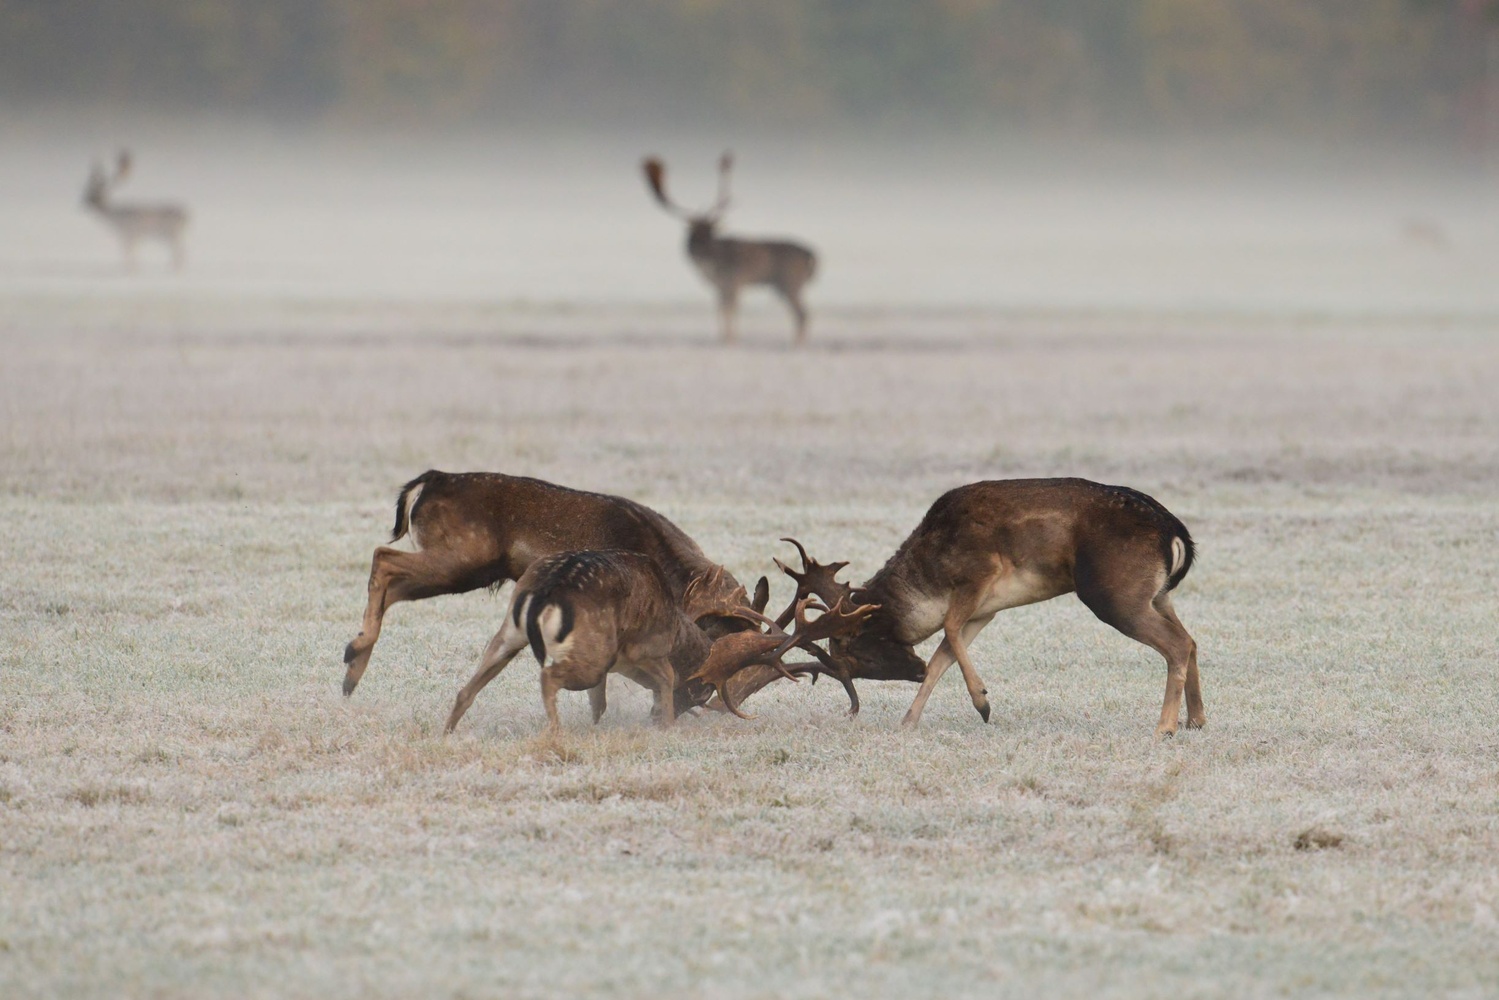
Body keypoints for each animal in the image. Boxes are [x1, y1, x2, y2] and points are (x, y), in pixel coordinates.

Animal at [437, 548, 875, 734]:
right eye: (701, 692)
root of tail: (547, 587)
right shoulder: (651, 654)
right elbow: (663, 684)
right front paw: (663, 726)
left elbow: (600, 701)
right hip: (594, 649)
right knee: (548, 677)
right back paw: (555, 732)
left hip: (510, 630)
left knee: (467, 687)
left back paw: (448, 731)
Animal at [638, 152, 815, 346]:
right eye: (695, 234)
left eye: (711, 232)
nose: (703, 250)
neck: (710, 267)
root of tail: (812, 255)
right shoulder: (720, 286)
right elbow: (721, 310)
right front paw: (723, 337)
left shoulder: (734, 281)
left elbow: (731, 311)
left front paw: (731, 339)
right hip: (784, 286)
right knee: (800, 314)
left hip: (791, 282)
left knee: (803, 314)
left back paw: (797, 343)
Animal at [761, 479, 1205, 740]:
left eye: (856, 651)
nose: (911, 669)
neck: (931, 573)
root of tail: (1175, 533)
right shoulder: (985, 610)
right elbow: (943, 655)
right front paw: (908, 721)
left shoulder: (979, 574)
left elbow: (948, 630)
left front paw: (983, 703)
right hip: (1157, 594)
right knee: (1192, 640)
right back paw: (1196, 720)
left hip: (1113, 593)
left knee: (1176, 643)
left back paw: (1165, 728)